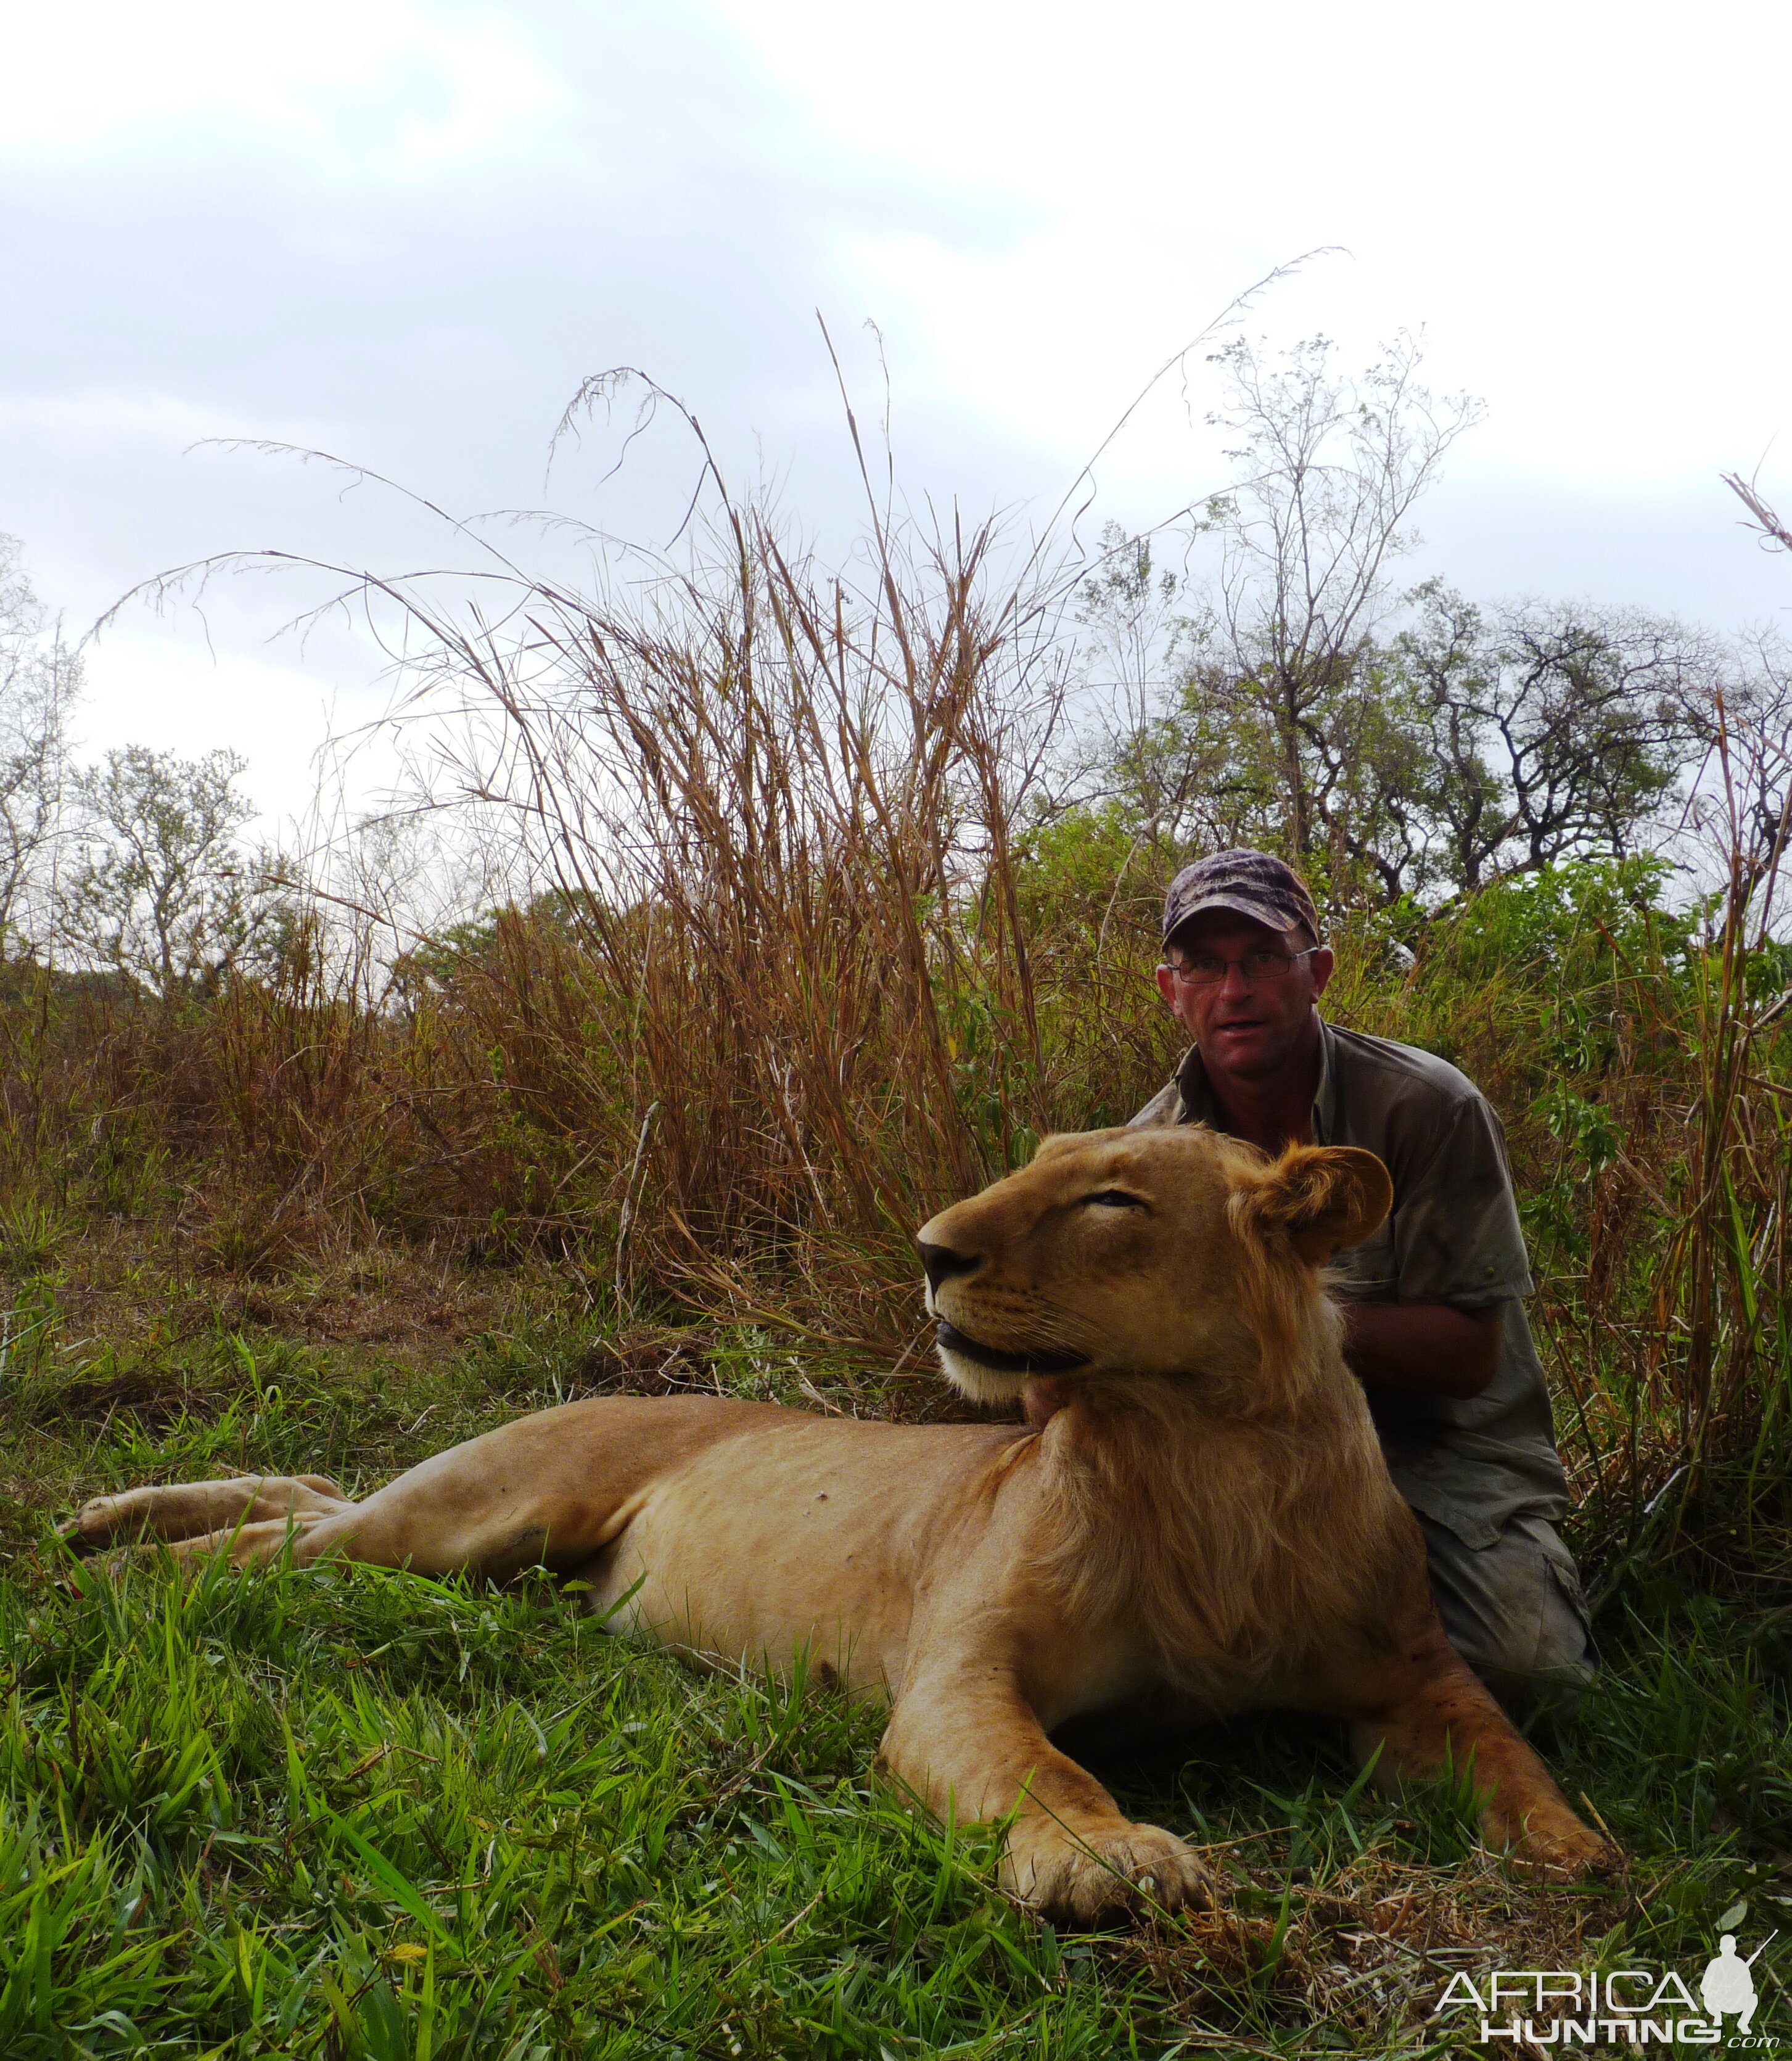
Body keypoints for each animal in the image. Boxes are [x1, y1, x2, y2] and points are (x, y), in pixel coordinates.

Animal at [63, 1129, 1623, 1912]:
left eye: (1111, 1198)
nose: (929, 1248)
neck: (1200, 1456)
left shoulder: (1408, 1670)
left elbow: (1505, 1743)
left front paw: (1575, 1850)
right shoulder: (957, 1674)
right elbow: (1042, 1769)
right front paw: (1109, 1863)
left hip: (472, 1544)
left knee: (311, 1496)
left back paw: (101, 1528)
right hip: (480, 1511)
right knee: (289, 1536)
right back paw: (112, 1558)